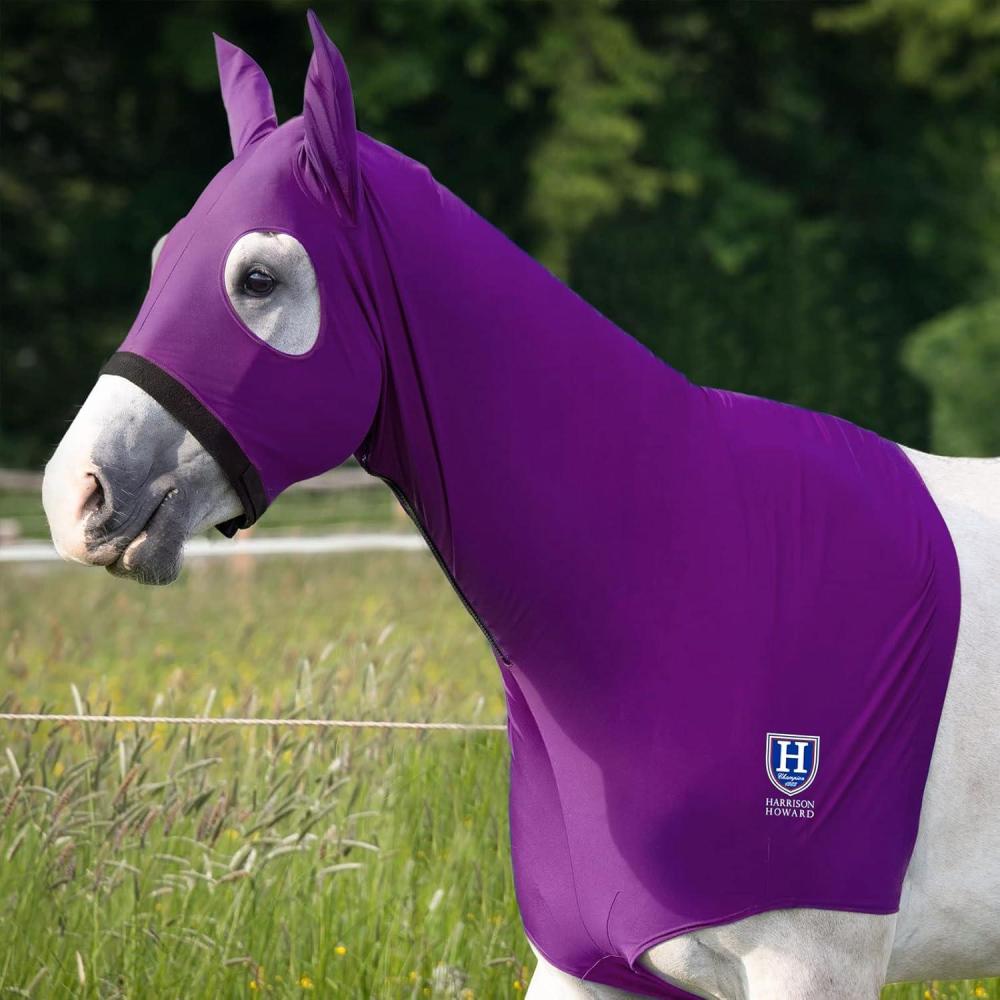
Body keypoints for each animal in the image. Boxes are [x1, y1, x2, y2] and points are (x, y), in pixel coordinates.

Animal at [41, 13, 999, 998]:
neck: (690, 570)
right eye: (162, 260)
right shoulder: (585, 960)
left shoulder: (811, 965)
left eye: (258, 279)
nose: (74, 494)